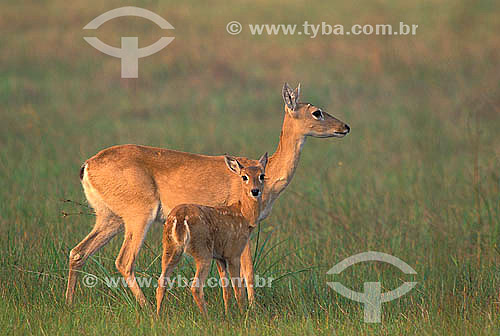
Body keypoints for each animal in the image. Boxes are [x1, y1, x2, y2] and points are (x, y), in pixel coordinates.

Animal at [65, 82, 348, 306]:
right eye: (317, 111)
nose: (345, 127)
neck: (266, 175)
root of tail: (87, 165)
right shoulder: (241, 226)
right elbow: (247, 271)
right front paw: (251, 309)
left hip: (109, 217)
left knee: (78, 252)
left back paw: (69, 303)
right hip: (139, 214)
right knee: (123, 261)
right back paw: (146, 308)